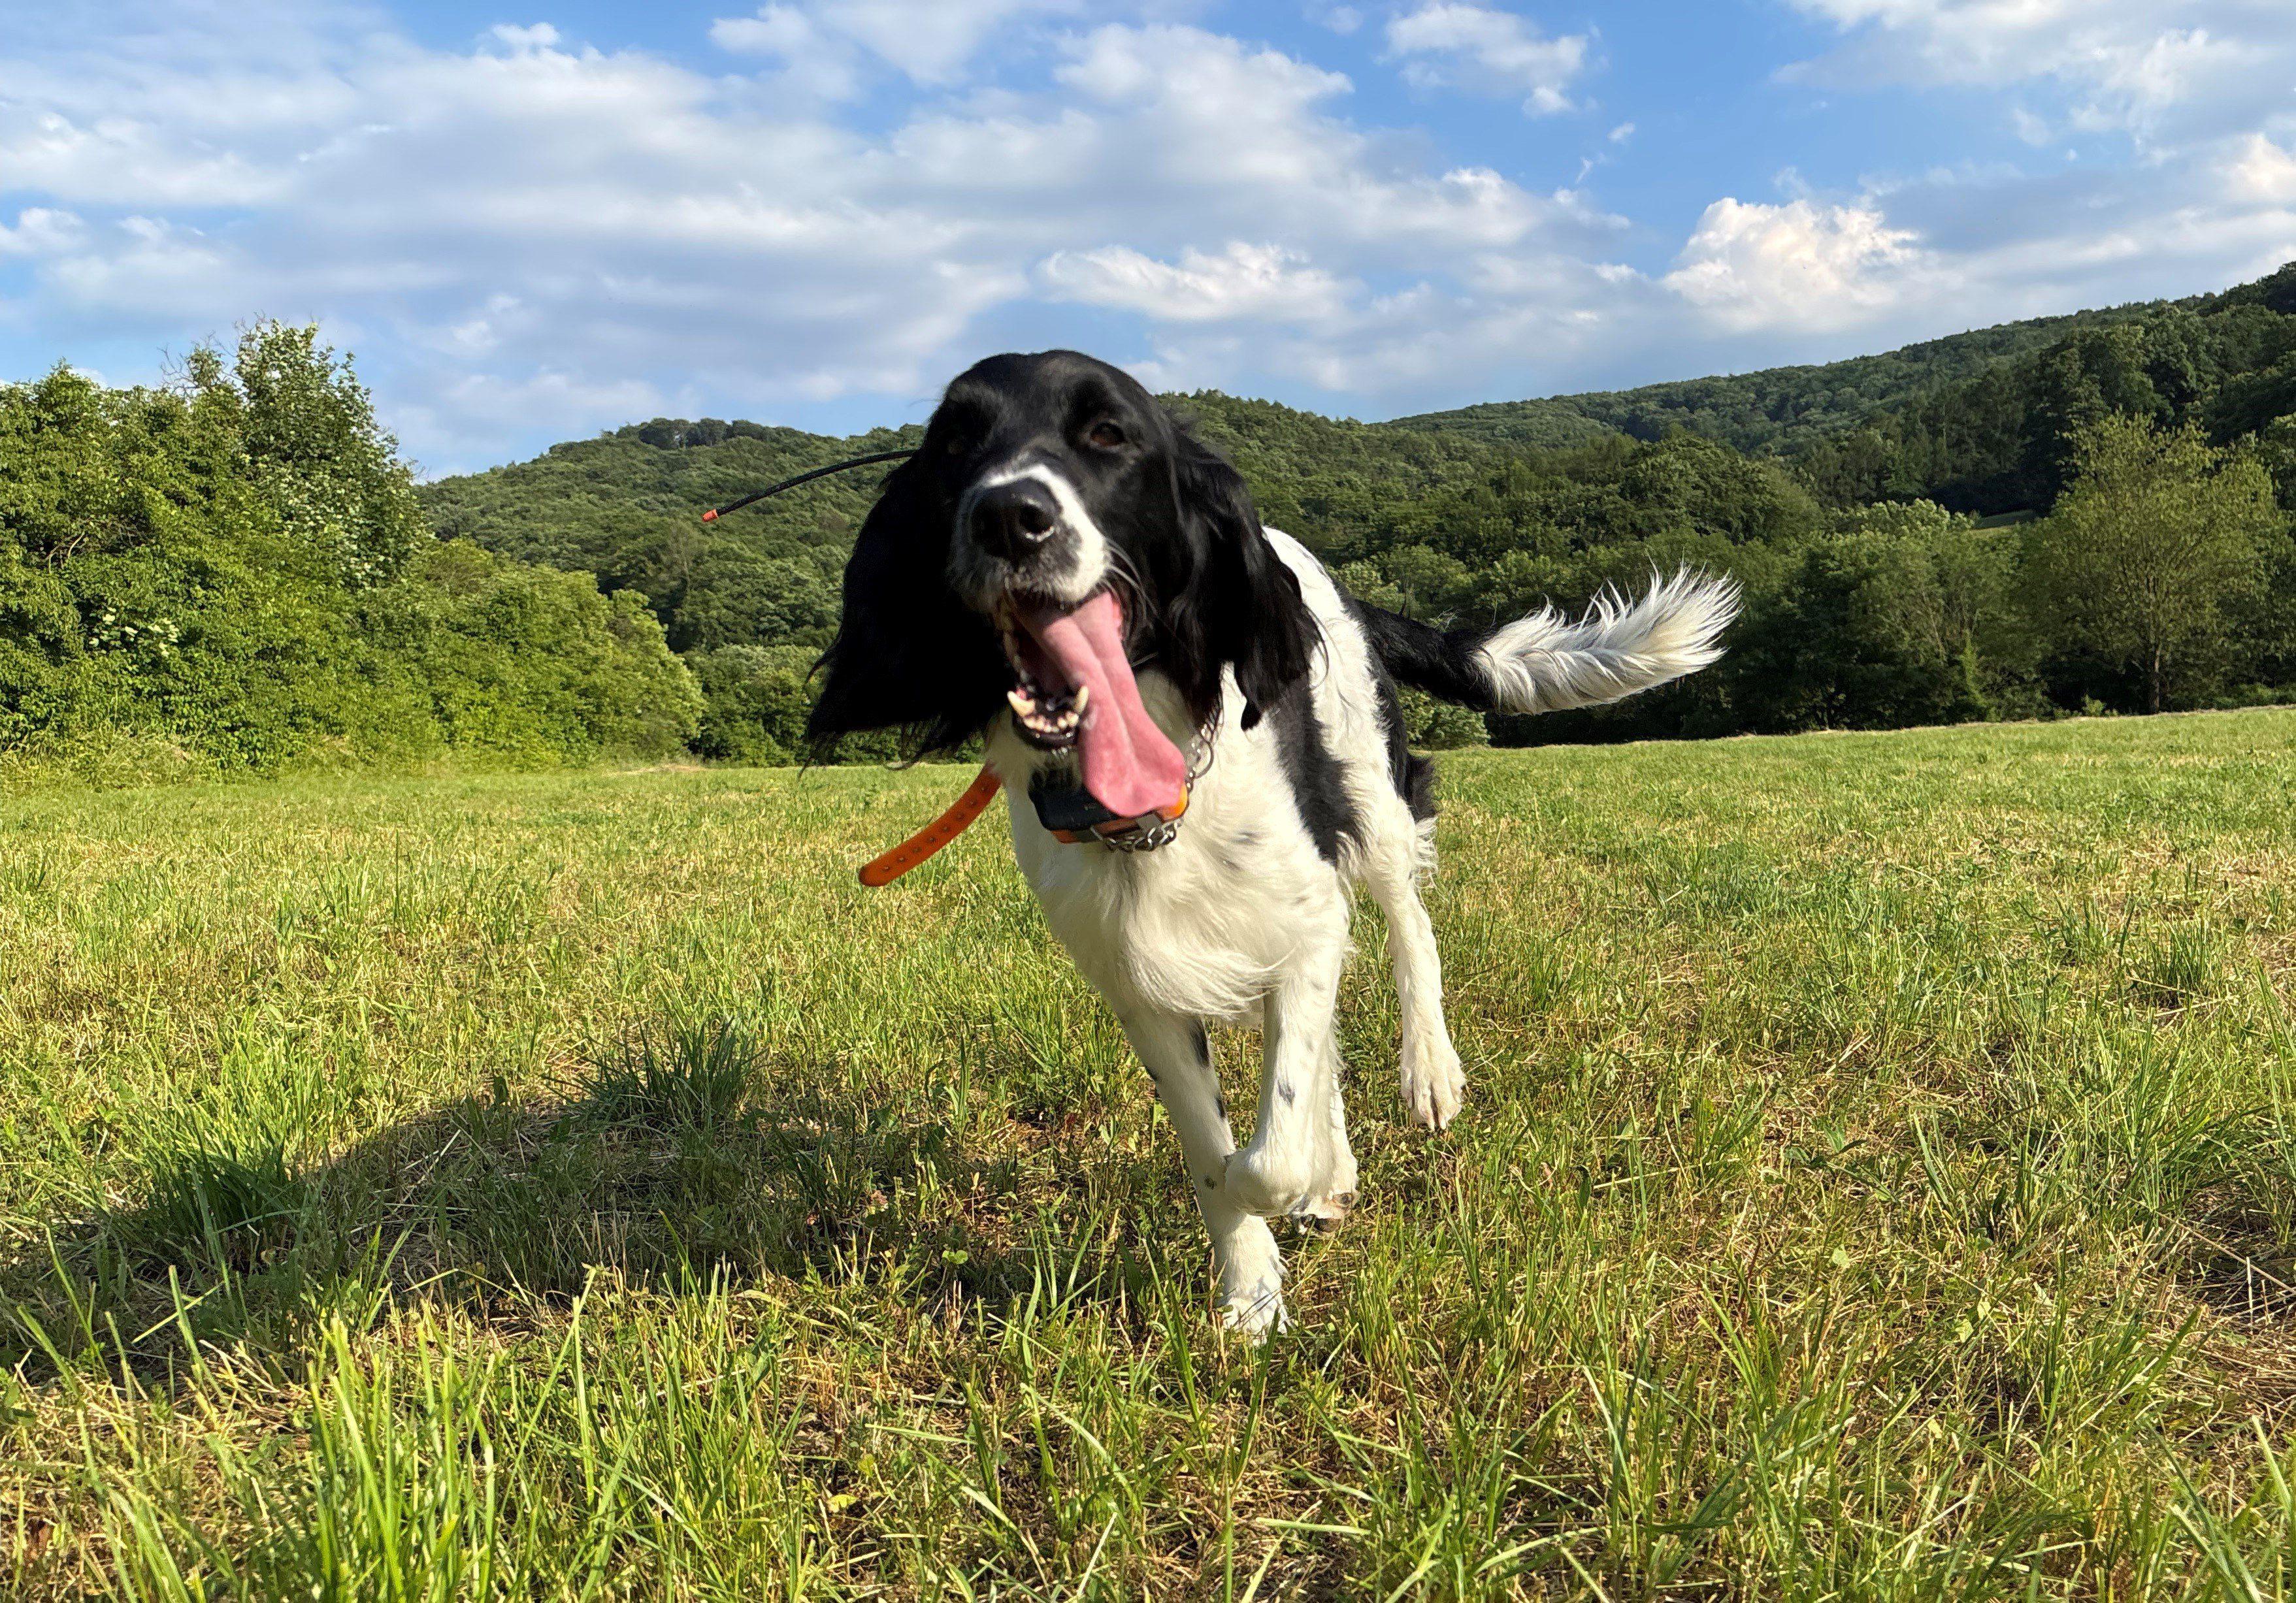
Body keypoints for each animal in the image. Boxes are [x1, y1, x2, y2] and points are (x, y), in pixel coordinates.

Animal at [810, 350, 1736, 1334]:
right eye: (954, 444)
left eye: (1109, 434)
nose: (1007, 516)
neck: (1151, 805)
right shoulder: (1140, 986)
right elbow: (1215, 1156)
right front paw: (1251, 1297)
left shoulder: (1306, 915)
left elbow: (1264, 1155)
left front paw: (1311, 1177)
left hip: (1369, 797)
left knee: (1408, 927)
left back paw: (1427, 1074)